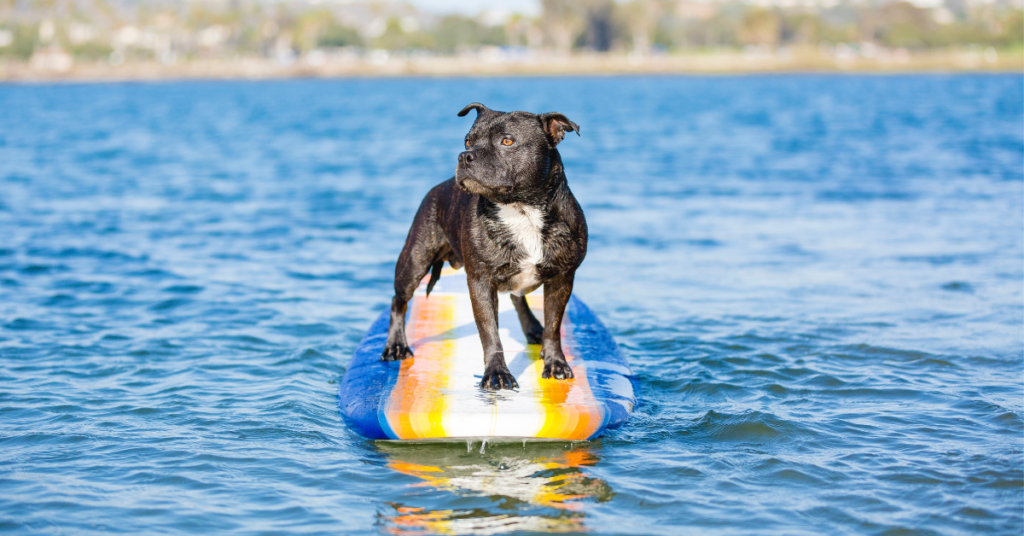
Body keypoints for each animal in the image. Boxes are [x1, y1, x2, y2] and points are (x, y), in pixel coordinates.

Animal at [382, 104, 593, 389]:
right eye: (467, 141)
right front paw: (497, 373)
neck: (521, 210)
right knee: (399, 300)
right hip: (414, 261)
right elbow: (490, 332)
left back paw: (532, 328)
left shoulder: (561, 278)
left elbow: (553, 326)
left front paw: (555, 363)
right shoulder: (480, 282)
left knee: (518, 298)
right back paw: (395, 345)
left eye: (507, 141)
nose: (464, 156)